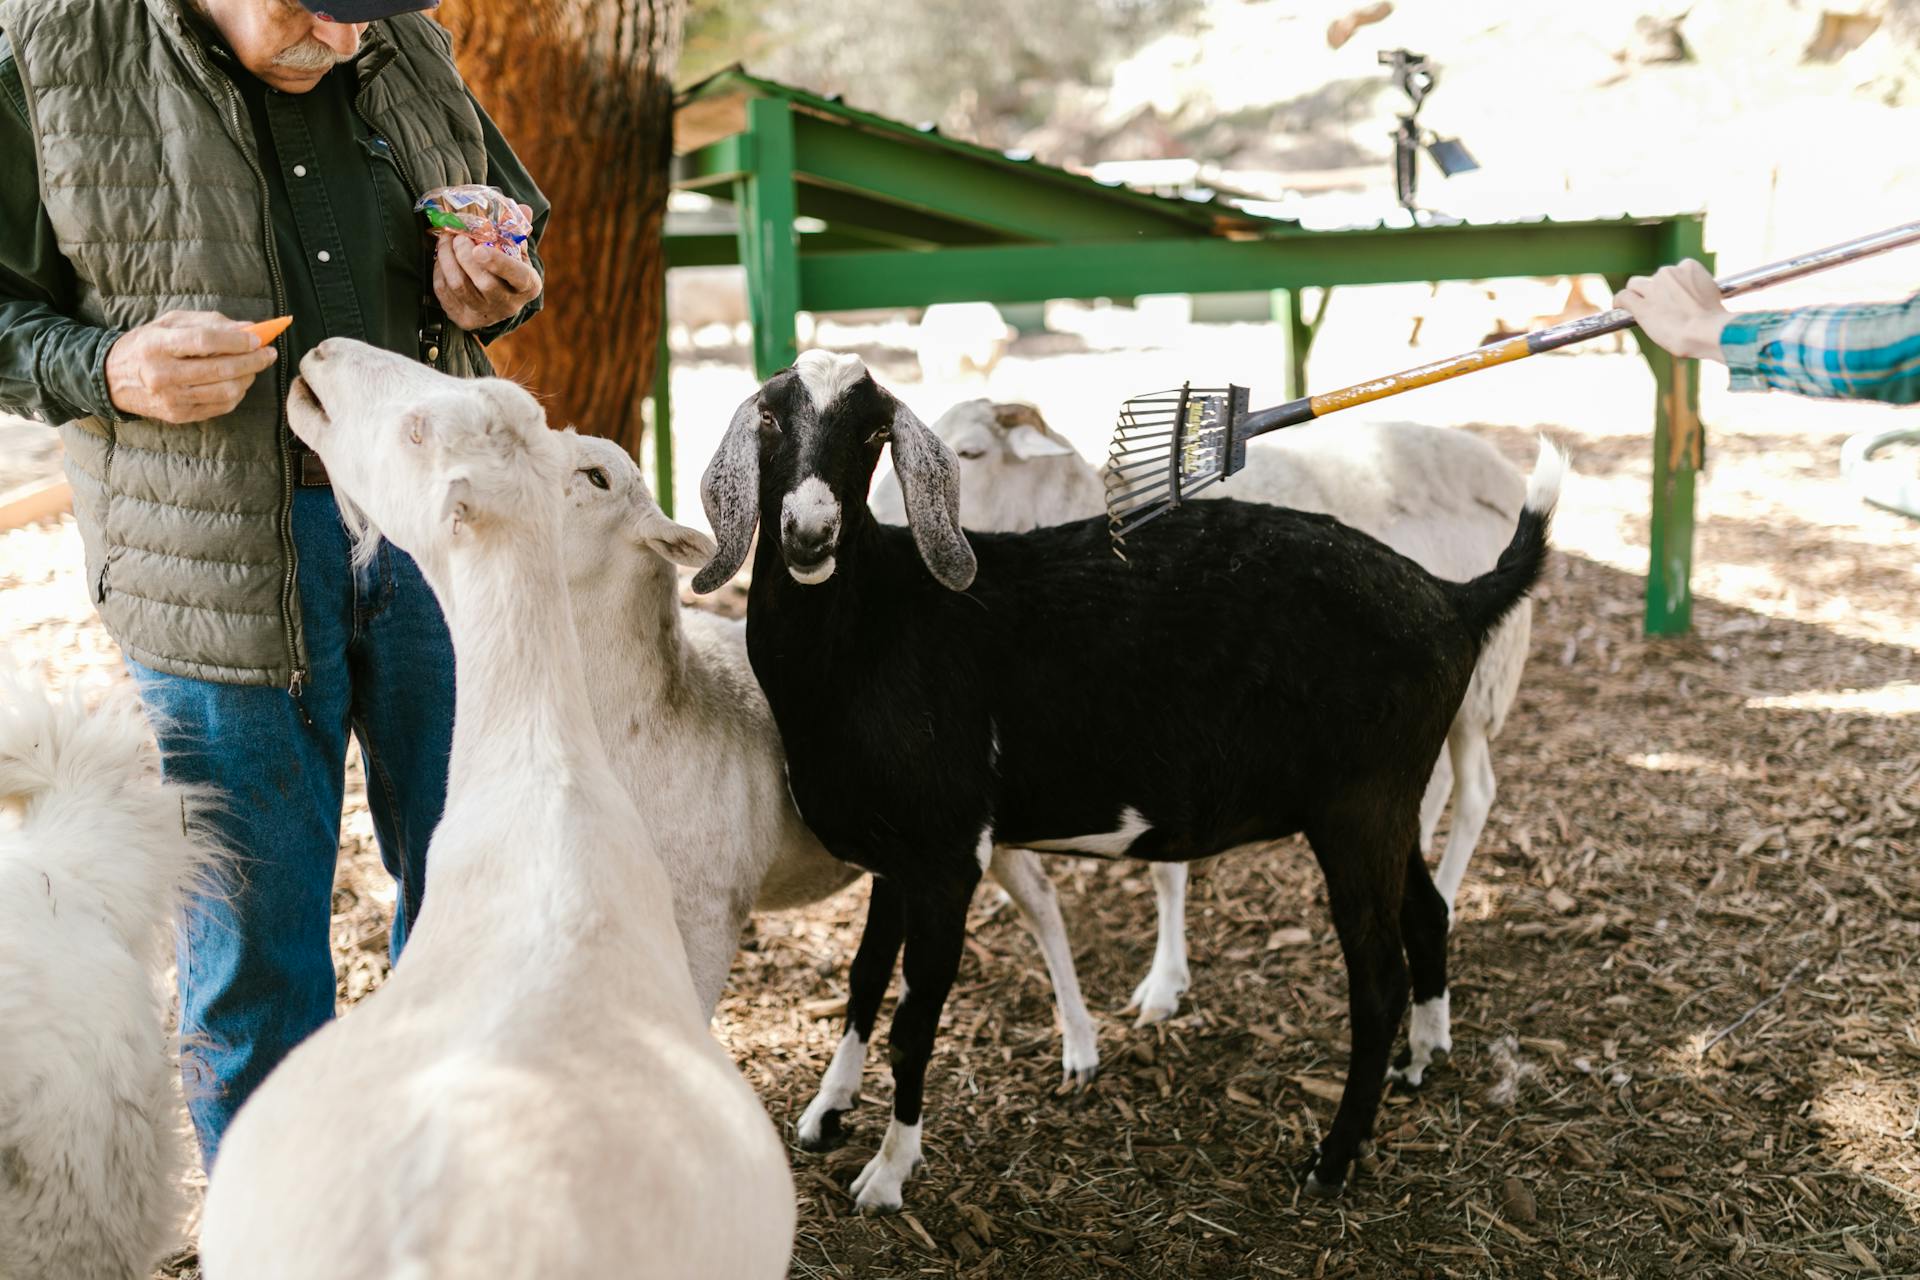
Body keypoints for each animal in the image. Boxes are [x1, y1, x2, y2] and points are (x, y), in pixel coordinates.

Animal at [871, 404, 1528, 1036]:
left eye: (971, 452)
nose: (878, 521)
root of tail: (1497, 464)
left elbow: (1165, 874)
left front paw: (1164, 984)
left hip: (1482, 684)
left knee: (1475, 792)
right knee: (1436, 789)